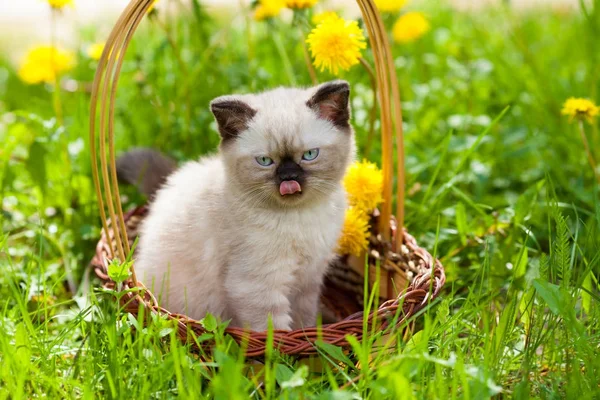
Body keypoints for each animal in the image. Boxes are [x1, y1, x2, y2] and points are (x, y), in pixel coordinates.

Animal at [117, 79, 356, 330]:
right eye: (265, 161)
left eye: (310, 155)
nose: (288, 177)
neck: (301, 216)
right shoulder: (257, 286)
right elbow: (274, 332)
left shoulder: (308, 283)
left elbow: (304, 322)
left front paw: (309, 337)